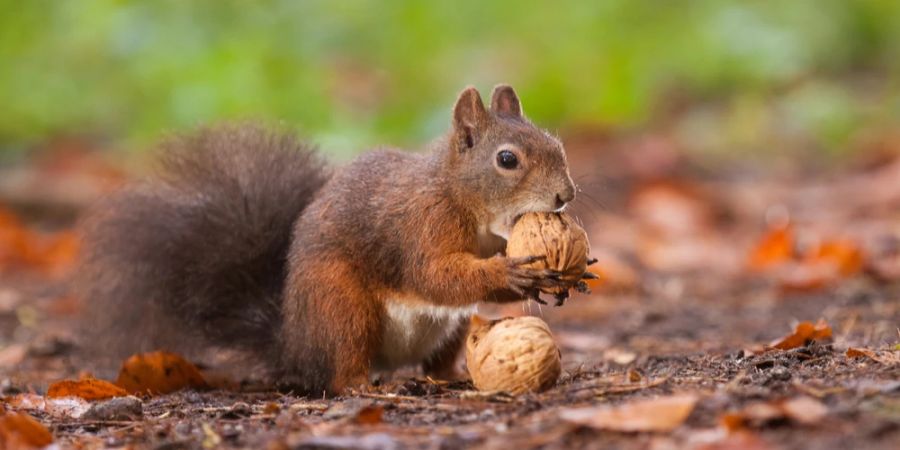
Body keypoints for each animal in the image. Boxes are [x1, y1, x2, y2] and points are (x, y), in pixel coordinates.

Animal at [81, 84, 580, 394]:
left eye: (557, 145)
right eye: (507, 160)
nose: (566, 195)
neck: (461, 199)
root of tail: (294, 344)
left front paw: (560, 278)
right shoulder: (422, 224)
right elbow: (434, 275)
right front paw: (510, 273)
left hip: (449, 328)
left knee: (436, 358)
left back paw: (451, 375)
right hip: (340, 306)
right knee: (341, 369)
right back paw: (367, 387)